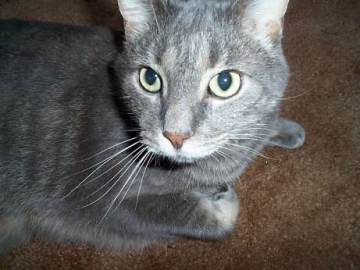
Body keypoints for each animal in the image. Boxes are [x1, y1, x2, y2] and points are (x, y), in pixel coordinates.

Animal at [0, 0, 304, 255]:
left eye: (225, 82)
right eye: (149, 78)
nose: (175, 136)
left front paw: (284, 129)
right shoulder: (104, 202)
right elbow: (192, 214)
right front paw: (222, 198)